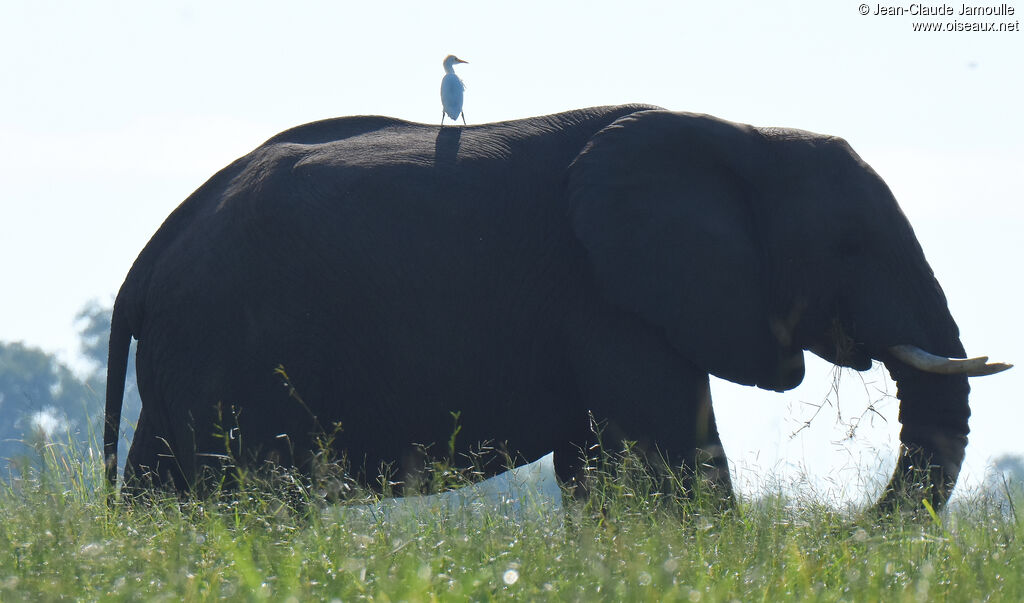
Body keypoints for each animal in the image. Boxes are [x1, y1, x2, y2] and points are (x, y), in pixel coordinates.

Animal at [105, 104, 1007, 507]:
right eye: (850, 246)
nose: (843, 531)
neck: (740, 136)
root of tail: (146, 260)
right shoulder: (609, 297)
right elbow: (669, 459)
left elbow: (602, 467)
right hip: (231, 345)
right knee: (253, 495)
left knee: (165, 490)